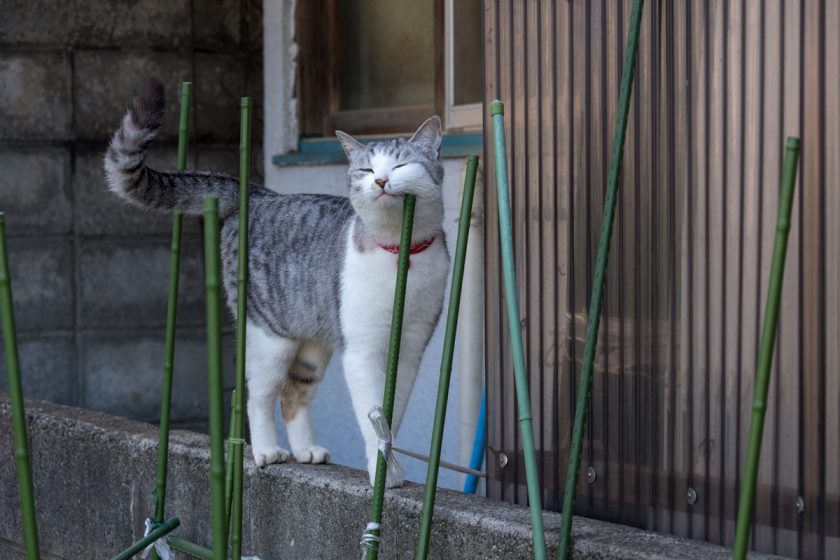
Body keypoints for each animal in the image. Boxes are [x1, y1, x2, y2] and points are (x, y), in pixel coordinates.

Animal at [106, 81, 452, 488]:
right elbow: (372, 415)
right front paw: (382, 472)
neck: (399, 251)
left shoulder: (412, 346)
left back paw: (307, 450)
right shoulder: (362, 349)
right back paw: (267, 450)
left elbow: (391, 415)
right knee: (256, 394)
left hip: (312, 341)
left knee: (292, 393)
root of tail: (260, 195)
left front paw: (391, 463)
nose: (381, 181)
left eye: (401, 166)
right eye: (366, 169)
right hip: (269, 335)